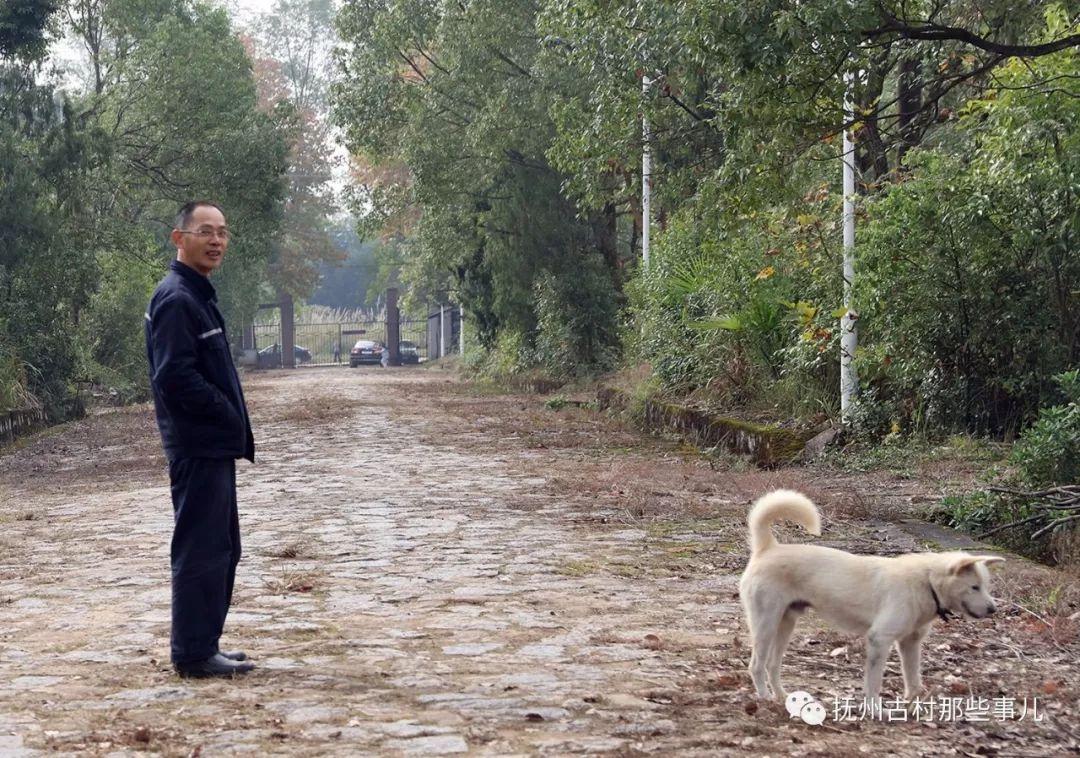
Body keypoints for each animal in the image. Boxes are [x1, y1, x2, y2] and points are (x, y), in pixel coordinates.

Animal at [738, 490, 1006, 704]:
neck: (926, 581)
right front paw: (875, 710)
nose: (993, 609)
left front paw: (912, 704)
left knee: (772, 665)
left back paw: (782, 696)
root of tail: (768, 548)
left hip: (786, 624)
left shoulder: (910, 644)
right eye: (974, 587)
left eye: (985, 586)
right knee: (756, 666)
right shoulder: (879, 640)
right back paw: (764, 697)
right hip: (766, 625)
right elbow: (874, 684)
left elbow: (913, 679)